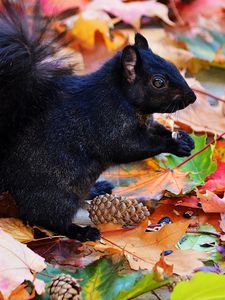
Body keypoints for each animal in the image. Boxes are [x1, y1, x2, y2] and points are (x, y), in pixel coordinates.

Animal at [0, 0, 195, 241]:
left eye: (173, 65)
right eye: (158, 82)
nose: (193, 97)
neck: (121, 96)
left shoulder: (144, 123)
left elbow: (156, 129)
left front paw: (184, 139)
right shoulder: (108, 125)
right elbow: (132, 147)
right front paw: (173, 144)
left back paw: (97, 189)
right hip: (55, 194)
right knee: (46, 218)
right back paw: (81, 231)